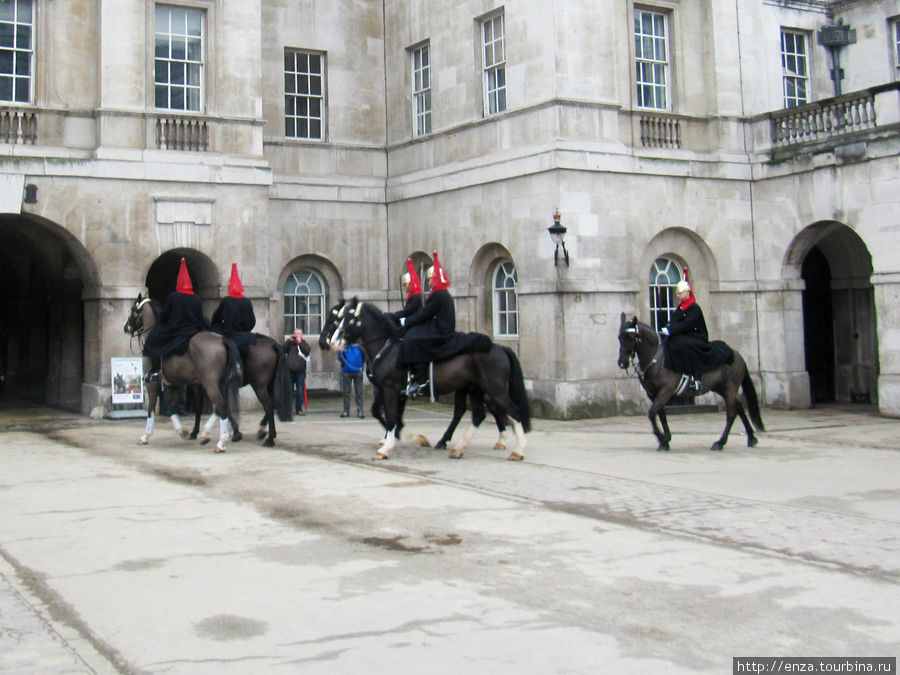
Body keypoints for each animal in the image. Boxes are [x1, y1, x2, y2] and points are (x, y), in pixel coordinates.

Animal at [125, 296, 243, 454]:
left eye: (133, 309)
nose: (126, 327)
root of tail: (222, 339)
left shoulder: (152, 383)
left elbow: (151, 409)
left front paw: (145, 436)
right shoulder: (174, 384)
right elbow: (172, 408)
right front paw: (183, 431)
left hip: (210, 384)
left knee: (221, 406)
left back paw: (220, 442)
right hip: (221, 384)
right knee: (220, 408)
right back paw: (206, 435)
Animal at [322, 300, 528, 460]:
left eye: (346, 320)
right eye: (337, 319)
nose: (330, 343)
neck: (388, 347)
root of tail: (499, 347)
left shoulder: (390, 389)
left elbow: (391, 417)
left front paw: (389, 446)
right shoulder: (391, 390)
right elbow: (387, 415)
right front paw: (397, 437)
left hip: (493, 387)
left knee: (512, 411)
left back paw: (516, 450)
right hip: (474, 388)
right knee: (478, 414)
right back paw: (460, 447)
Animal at [620, 314, 768, 452]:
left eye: (631, 336)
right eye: (619, 337)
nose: (622, 363)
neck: (657, 360)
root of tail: (737, 354)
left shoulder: (666, 391)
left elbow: (652, 413)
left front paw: (662, 439)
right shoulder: (653, 394)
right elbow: (660, 415)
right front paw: (666, 439)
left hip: (730, 388)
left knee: (731, 413)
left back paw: (720, 442)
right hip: (720, 388)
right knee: (739, 407)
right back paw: (751, 437)